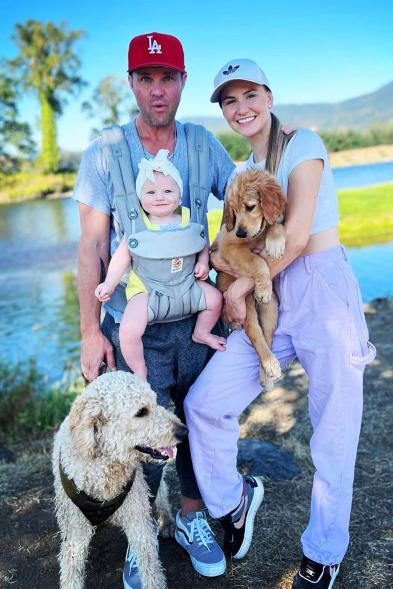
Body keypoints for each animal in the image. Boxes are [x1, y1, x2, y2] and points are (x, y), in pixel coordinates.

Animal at [52, 372, 187, 588]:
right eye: (141, 412)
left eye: (156, 401)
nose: (184, 431)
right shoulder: (74, 532)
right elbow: (71, 568)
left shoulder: (137, 519)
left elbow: (149, 564)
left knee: (161, 493)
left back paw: (166, 521)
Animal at [211, 169, 284, 390]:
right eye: (233, 210)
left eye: (250, 207)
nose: (240, 233)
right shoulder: (229, 247)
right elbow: (258, 262)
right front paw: (263, 289)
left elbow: (275, 225)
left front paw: (276, 242)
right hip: (245, 306)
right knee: (254, 333)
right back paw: (269, 363)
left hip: (271, 310)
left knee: (267, 335)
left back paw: (267, 373)